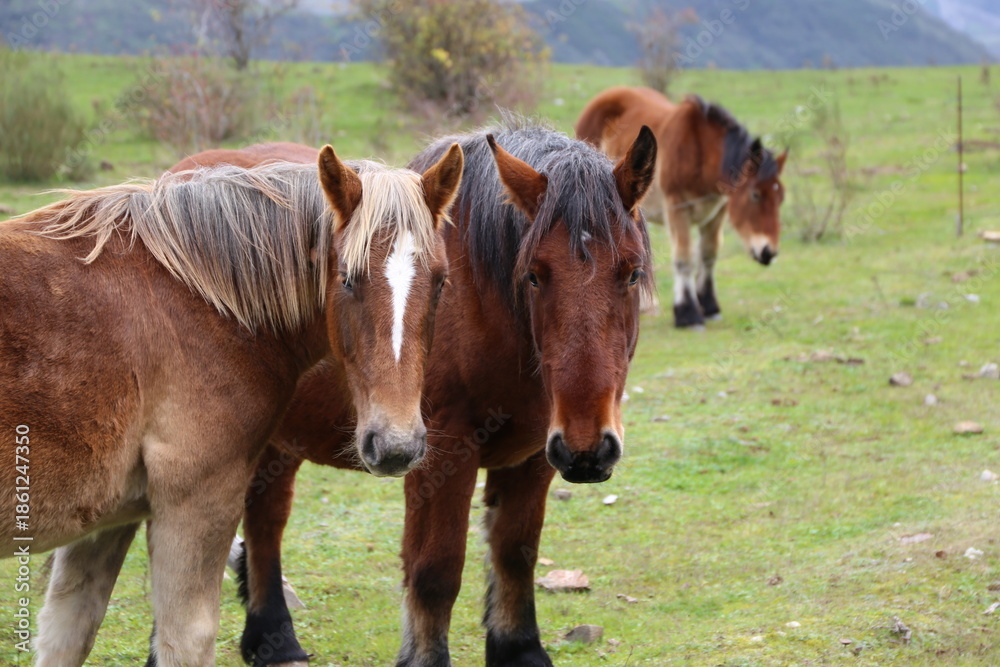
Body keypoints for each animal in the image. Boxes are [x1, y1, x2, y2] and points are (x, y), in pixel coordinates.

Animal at [0, 143, 464, 667]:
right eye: (347, 279)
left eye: (441, 282)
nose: (396, 445)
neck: (198, 296)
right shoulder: (198, 500)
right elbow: (186, 639)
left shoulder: (105, 523)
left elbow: (66, 631)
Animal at [174, 121, 658, 667]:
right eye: (533, 274)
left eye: (632, 272)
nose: (589, 451)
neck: (483, 302)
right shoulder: (441, 452)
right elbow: (436, 569)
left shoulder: (536, 455)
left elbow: (516, 553)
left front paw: (520, 649)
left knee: (266, 517)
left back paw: (271, 636)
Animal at [576, 86, 788, 328]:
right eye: (755, 195)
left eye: (781, 197)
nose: (768, 253)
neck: (699, 153)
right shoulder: (678, 209)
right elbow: (684, 257)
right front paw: (687, 313)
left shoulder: (718, 212)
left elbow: (708, 254)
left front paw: (709, 305)